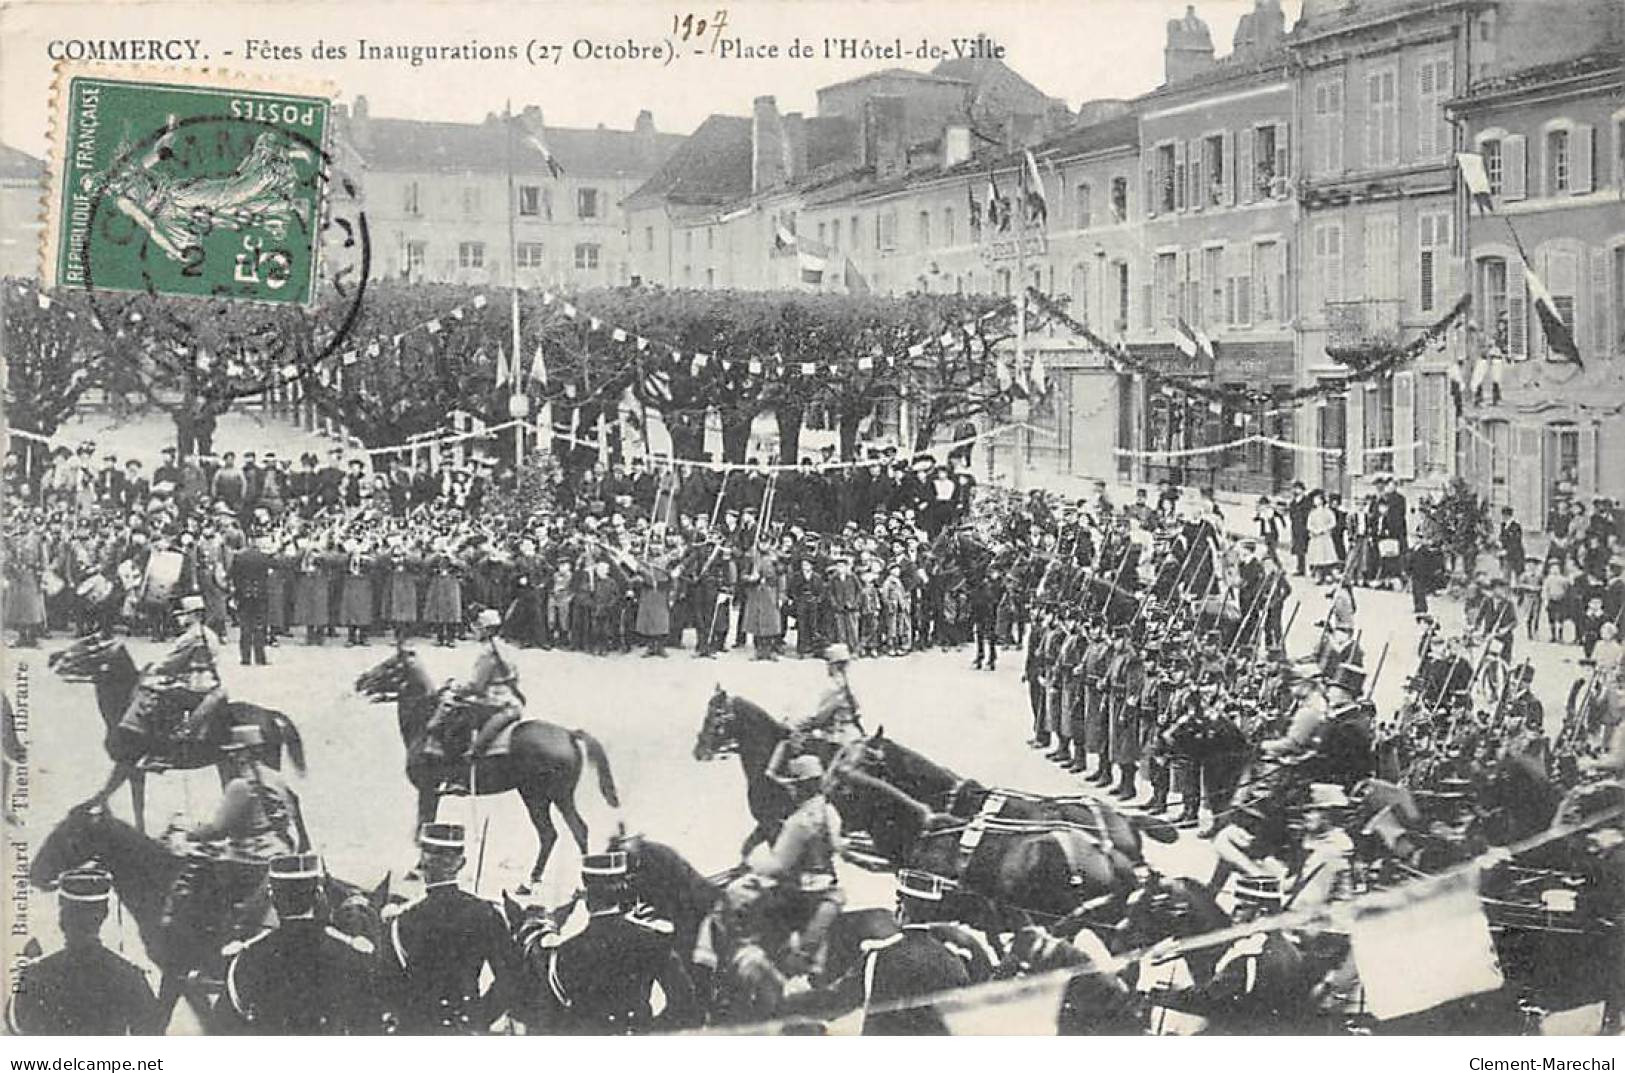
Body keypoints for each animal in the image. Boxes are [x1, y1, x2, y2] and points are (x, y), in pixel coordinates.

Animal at [49, 634, 307, 832]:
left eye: (91, 647)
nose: (57, 660)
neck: (124, 706)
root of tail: (270, 715)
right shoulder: (132, 771)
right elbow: (131, 804)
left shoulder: (126, 766)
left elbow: (105, 795)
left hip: (264, 766)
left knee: (288, 799)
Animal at [355, 647, 620, 890]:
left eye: (390, 665)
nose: (360, 681)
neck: (425, 725)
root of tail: (568, 734)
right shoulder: (432, 792)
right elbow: (427, 826)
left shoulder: (427, 789)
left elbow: (423, 827)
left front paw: (417, 869)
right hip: (538, 796)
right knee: (552, 834)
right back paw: (534, 878)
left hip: (552, 796)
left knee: (574, 830)